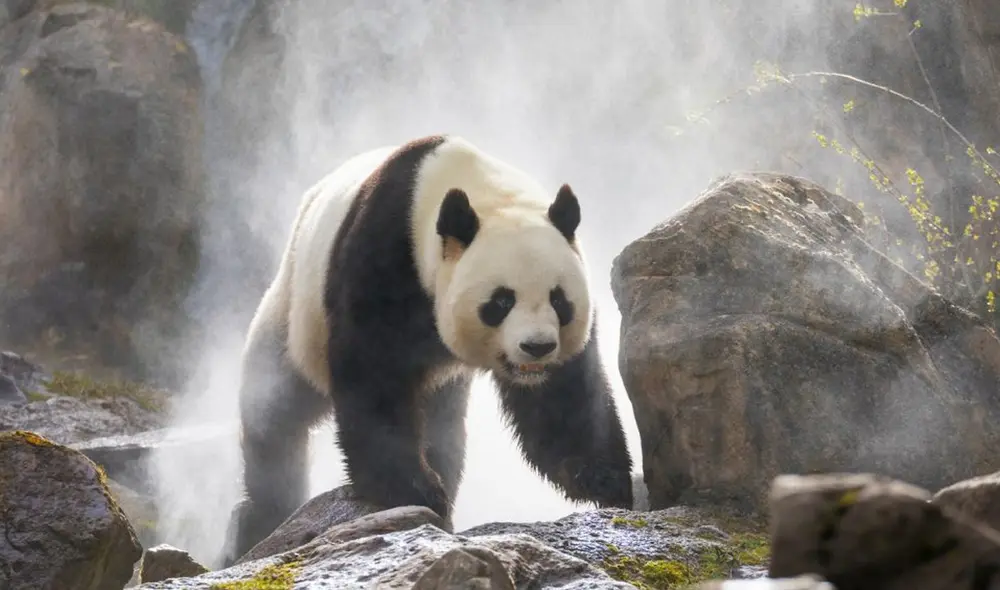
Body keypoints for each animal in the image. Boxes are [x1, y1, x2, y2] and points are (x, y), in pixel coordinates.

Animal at [222, 134, 634, 563]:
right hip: (295, 320)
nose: (537, 347)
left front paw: (604, 479)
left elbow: (563, 398)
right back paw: (259, 520)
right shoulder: (385, 256)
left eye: (559, 300)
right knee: (275, 418)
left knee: (445, 432)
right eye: (502, 301)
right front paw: (412, 489)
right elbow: (373, 374)